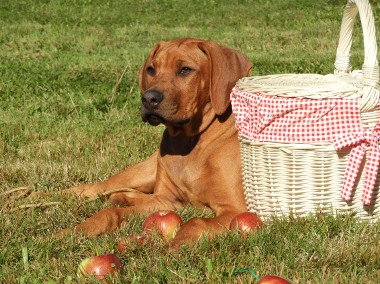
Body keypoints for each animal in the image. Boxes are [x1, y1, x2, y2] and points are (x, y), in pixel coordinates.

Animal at [62, 38, 252, 248]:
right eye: (151, 69)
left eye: (185, 70)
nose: (148, 98)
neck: (190, 142)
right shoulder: (166, 201)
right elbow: (109, 213)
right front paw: (74, 231)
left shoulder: (235, 209)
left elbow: (196, 222)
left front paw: (175, 247)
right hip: (143, 173)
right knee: (93, 188)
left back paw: (122, 197)